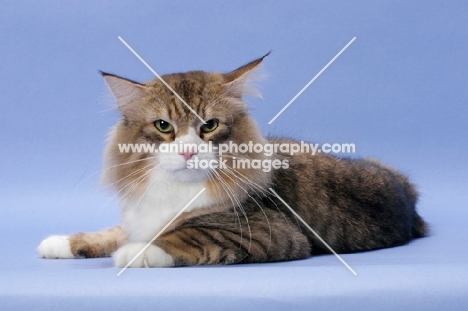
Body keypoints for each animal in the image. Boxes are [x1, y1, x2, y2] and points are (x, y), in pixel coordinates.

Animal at [37, 54, 428, 268]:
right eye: (164, 126)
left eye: (209, 126)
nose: (188, 151)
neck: (174, 191)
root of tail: (406, 190)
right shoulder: (138, 214)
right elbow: (114, 231)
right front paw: (63, 243)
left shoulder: (268, 232)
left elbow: (184, 235)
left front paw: (137, 252)